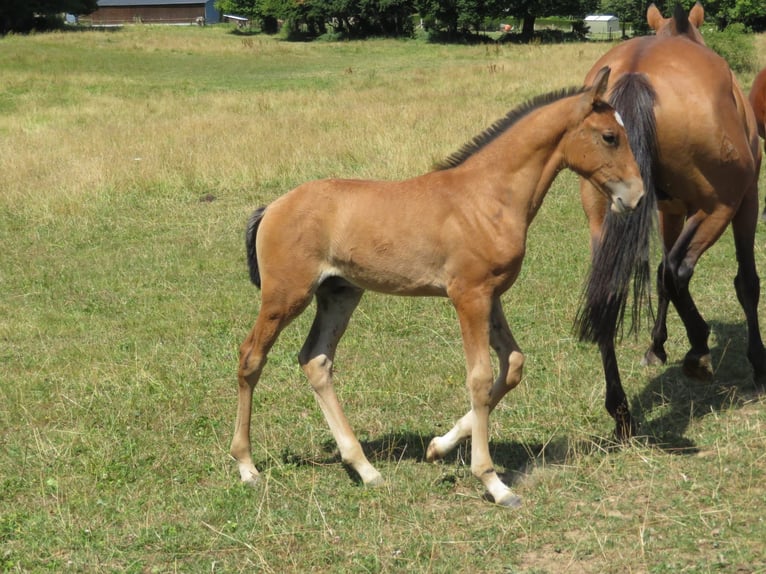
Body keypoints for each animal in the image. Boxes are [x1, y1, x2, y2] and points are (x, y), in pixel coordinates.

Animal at [231, 67, 644, 507]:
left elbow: (512, 364)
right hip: (286, 295)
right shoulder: (468, 296)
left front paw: (438, 446)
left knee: (316, 360)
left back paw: (366, 469)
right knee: (251, 358)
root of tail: (272, 207)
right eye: (610, 136)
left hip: (340, 293)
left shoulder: (491, 295)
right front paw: (493, 482)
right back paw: (247, 466)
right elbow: (479, 377)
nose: (636, 196)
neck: (487, 197)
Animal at [576, 3, 764, 440]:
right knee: (677, 269)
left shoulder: (668, 210)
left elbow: (661, 283)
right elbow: (746, 282)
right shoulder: (747, 200)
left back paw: (621, 411)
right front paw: (759, 363)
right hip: (720, 206)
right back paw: (698, 351)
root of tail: (635, 72)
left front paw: (656, 346)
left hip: (604, 218)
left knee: (615, 289)